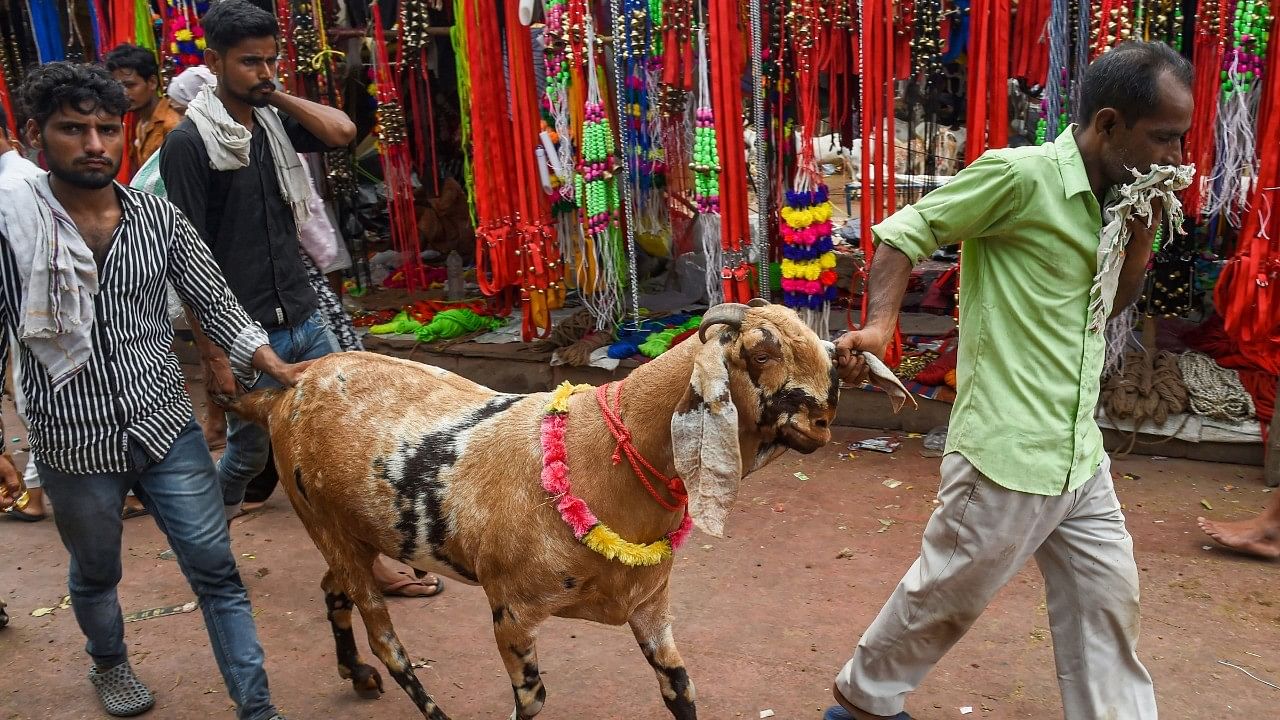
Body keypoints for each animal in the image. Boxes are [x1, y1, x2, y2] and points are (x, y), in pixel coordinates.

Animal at [225, 299, 916, 712]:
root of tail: (290, 386)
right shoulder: (511, 614)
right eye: (763, 350)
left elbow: (680, 688)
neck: (593, 456)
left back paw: (355, 674)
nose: (825, 415)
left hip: (349, 533)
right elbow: (531, 701)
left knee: (333, 591)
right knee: (388, 641)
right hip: (328, 527)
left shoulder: (651, 607)